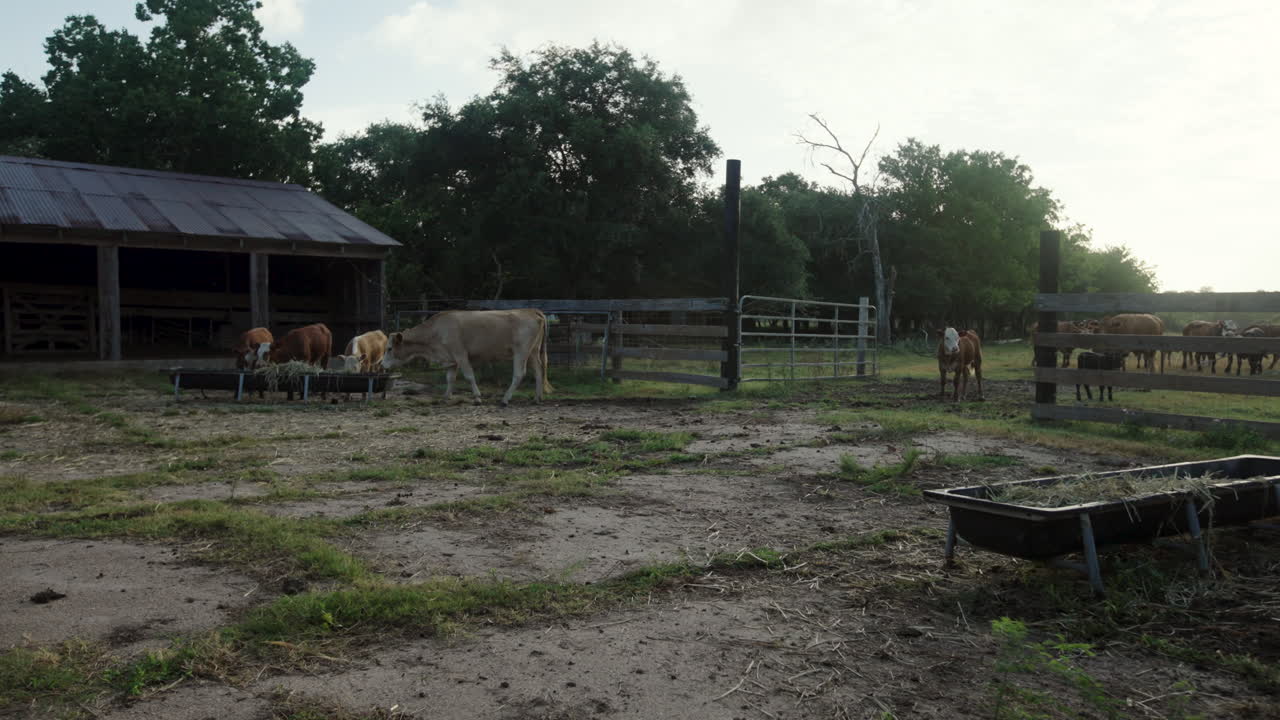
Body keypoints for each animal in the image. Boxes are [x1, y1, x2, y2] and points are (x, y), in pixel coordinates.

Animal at [381, 309, 552, 406]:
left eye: (389, 348)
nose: (382, 365)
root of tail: (531, 311)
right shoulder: (451, 359)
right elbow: (450, 378)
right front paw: (445, 397)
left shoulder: (460, 354)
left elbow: (469, 376)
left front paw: (477, 398)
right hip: (533, 352)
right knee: (538, 371)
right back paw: (537, 398)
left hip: (521, 351)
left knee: (519, 374)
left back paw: (505, 399)